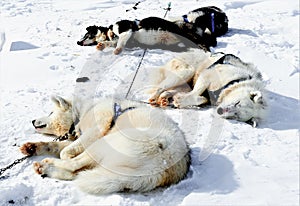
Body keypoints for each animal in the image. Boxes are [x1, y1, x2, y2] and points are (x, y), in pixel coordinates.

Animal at [19, 96, 190, 194]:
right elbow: (53, 146)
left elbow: (65, 152)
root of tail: (161, 168)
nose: (32, 121)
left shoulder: (96, 130)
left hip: (103, 143)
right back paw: (44, 167)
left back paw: (49, 164)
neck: (82, 113)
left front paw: (64, 155)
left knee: (75, 167)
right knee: (77, 173)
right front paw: (32, 147)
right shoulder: (81, 138)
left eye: (50, 113)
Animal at [76, 16, 217, 54]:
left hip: (186, 33)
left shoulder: (126, 29)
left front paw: (117, 50)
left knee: (205, 45)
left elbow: (119, 43)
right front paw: (102, 45)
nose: (78, 42)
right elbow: (109, 43)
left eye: (86, 34)